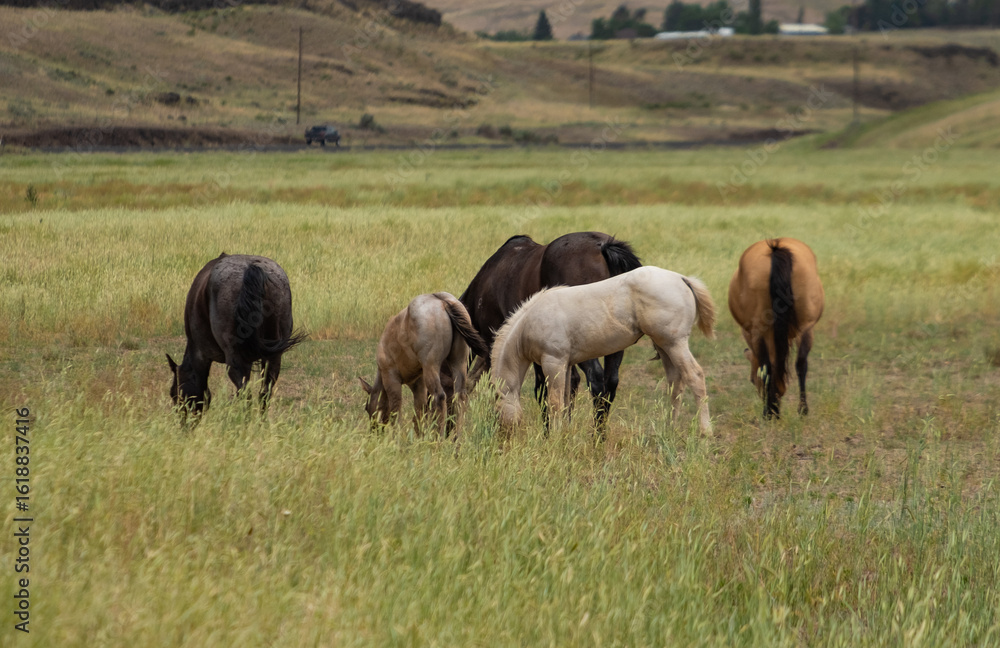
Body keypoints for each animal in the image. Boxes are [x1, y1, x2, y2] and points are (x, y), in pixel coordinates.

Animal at [166, 253, 306, 417]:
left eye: (174, 394)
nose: (183, 420)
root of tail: (252, 268)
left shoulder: (202, 355)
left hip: (235, 360)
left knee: (245, 394)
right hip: (273, 358)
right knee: (264, 393)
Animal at [359, 292, 489, 437]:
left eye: (366, 408)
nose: (373, 431)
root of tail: (443, 301)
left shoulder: (391, 378)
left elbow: (395, 411)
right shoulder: (419, 383)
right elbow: (419, 413)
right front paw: (419, 438)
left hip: (431, 367)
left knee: (439, 397)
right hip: (459, 363)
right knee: (459, 397)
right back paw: (455, 440)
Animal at [491, 266, 716, 435]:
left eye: (497, 409)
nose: (502, 438)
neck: (529, 322)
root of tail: (682, 279)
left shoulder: (553, 362)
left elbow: (555, 403)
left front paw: (554, 438)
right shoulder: (565, 364)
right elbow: (565, 400)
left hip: (675, 344)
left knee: (695, 376)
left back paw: (705, 433)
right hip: (664, 346)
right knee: (676, 382)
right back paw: (669, 430)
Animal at [728, 238, 824, 419]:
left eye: (752, 380)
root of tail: (776, 247)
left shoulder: (751, 334)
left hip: (758, 332)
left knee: (768, 368)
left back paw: (770, 412)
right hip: (807, 329)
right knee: (801, 364)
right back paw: (802, 409)